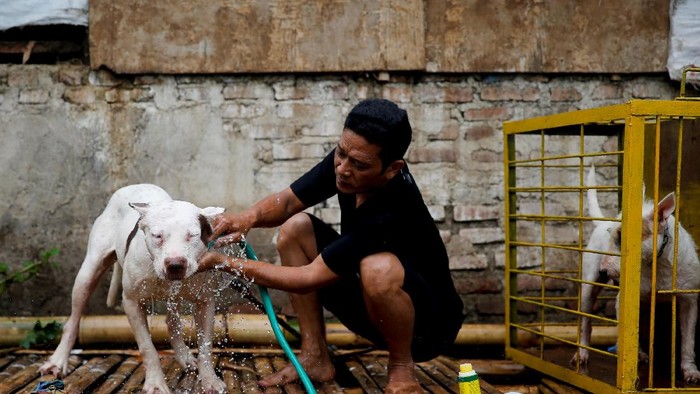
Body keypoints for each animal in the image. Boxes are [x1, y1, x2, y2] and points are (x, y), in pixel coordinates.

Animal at [39, 185, 230, 394]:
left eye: (191, 236)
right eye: (157, 236)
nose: (175, 265)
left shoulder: (205, 301)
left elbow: (205, 346)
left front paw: (210, 380)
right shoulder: (131, 302)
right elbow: (147, 348)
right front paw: (155, 384)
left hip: (176, 294)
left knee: (172, 321)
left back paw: (184, 356)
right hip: (87, 274)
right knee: (73, 321)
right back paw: (58, 360)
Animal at [572, 167, 700, 384]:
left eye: (623, 237)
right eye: (611, 235)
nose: (603, 271)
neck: (658, 264)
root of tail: (600, 223)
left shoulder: (688, 299)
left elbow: (689, 340)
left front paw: (690, 371)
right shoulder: (625, 300)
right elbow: (629, 331)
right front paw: (635, 357)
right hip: (589, 286)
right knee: (585, 322)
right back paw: (582, 354)